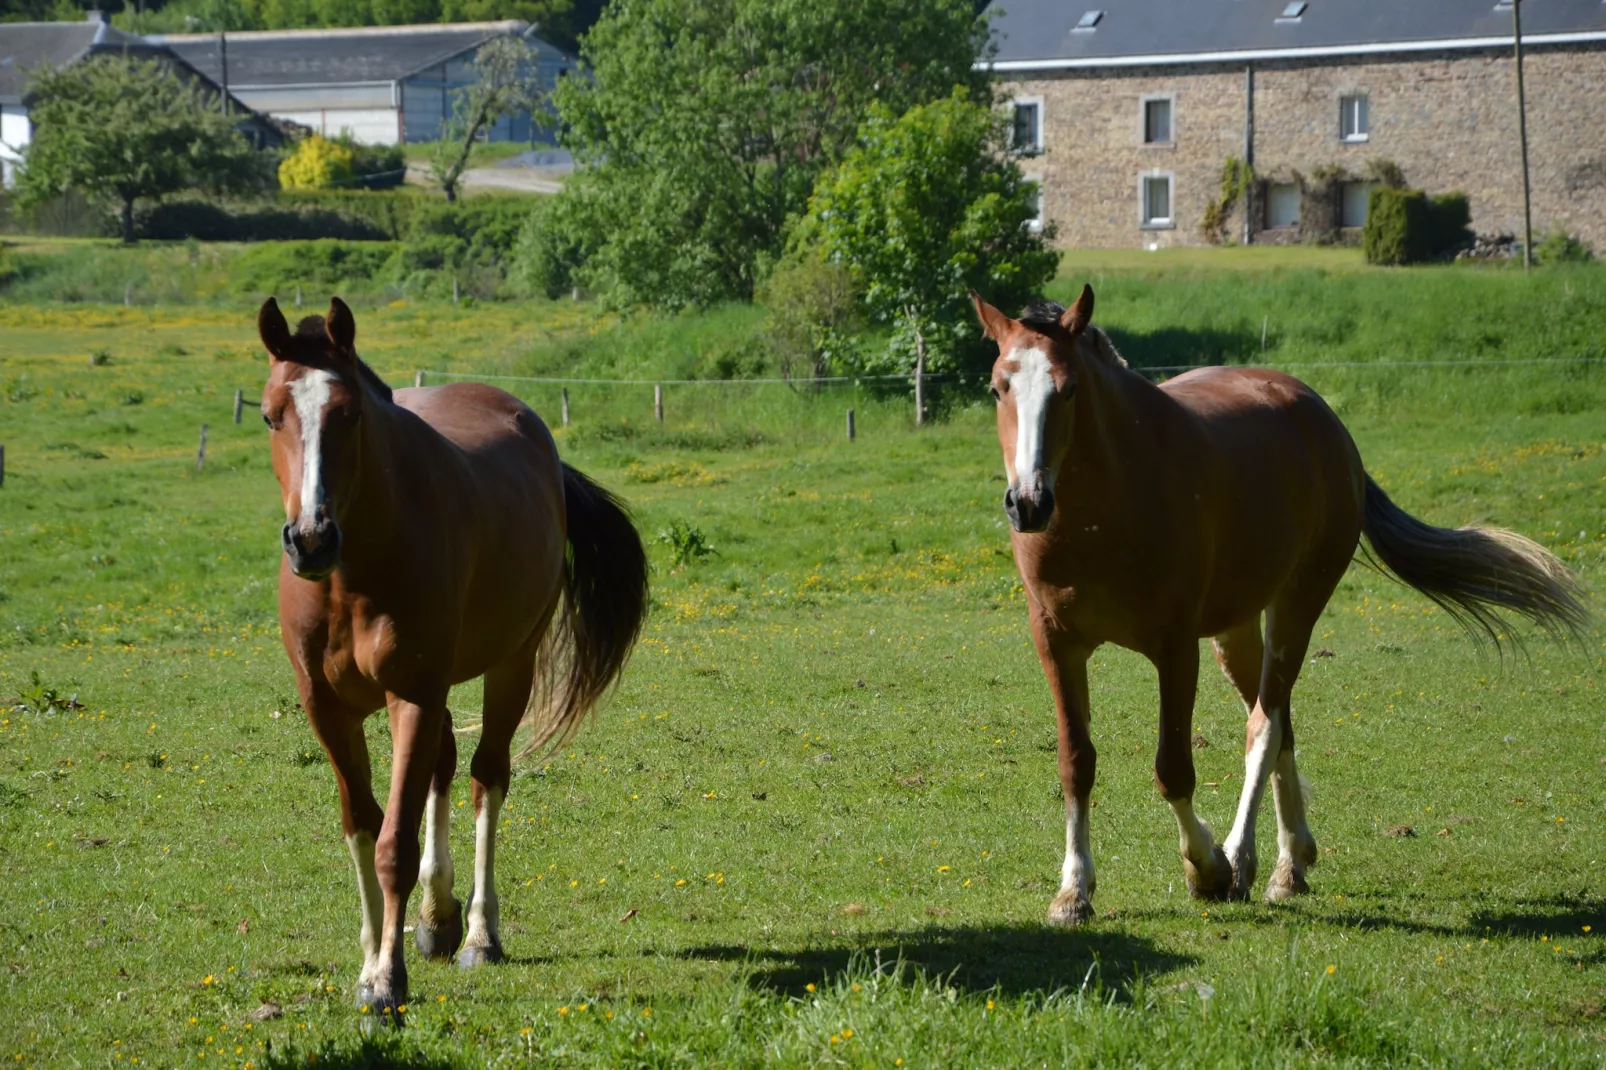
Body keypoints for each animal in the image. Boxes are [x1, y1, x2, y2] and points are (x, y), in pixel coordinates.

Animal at [256, 295, 645, 1015]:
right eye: (271, 415)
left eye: (349, 413)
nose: (311, 539)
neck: (353, 577)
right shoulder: (326, 709)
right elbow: (362, 825)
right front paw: (371, 961)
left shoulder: (412, 693)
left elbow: (394, 845)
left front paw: (387, 982)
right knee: (443, 765)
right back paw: (436, 920)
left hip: (511, 665)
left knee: (486, 776)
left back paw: (478, 935)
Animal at [970, 285, 1586, 925]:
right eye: (998, 388)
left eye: (1068, 389)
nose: (1027, 503)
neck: (1102, 509)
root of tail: (1321, 414)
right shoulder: (1057, 643)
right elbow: (1076, 764)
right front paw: (1073, 891)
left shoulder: (1175, 648)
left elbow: (1174, 769)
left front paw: (1207, 868)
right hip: (1236, 629)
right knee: (1280, 720)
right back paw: (1294, 862)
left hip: (1296, 607)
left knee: (1264, 727)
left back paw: (1251, 862)